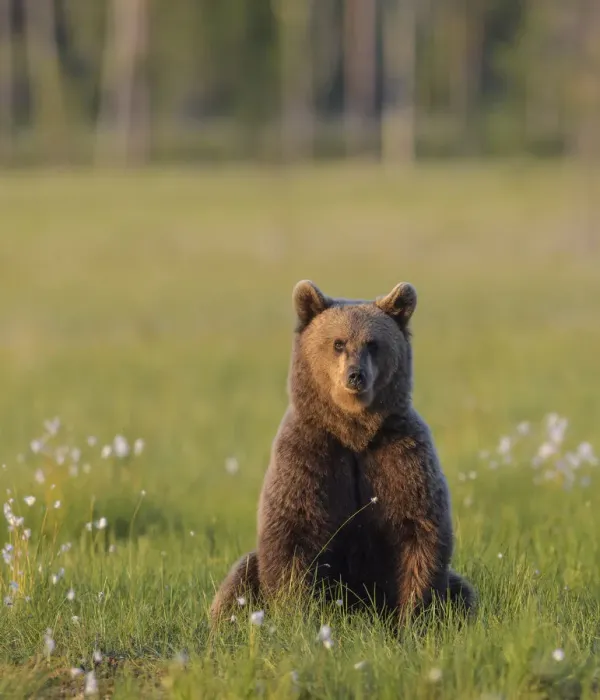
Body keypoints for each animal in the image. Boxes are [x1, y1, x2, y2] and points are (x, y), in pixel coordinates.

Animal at [210, 280, 476, 625]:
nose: (355, 375)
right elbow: (293, 533)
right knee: (239, 579)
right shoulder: (311, 454)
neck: (354, 433)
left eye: (372, 343)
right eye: (338, 343)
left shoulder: (400, 455)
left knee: (463, 591)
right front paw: (297, 614)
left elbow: (418, 528)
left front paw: (412, 618)